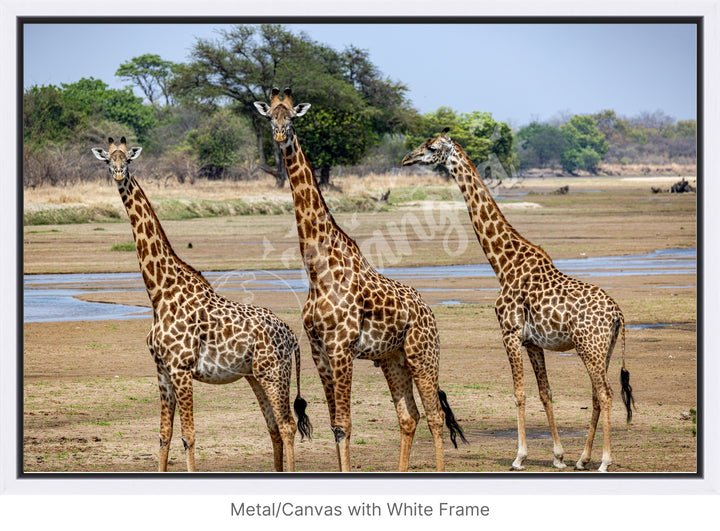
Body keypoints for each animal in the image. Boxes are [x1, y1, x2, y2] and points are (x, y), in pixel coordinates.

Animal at [89, 137, 310, 474]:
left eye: (127, 159)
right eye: (107, 160)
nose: (118, 173)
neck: (159, 292)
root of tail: (293, 336)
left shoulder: (181, 368)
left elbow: (188, 436)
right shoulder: (162, 369)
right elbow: (164, 435)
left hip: (275, 373)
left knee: (286, 426)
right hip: (255, 376)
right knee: (273, 427)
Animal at [255, 88, 466, 474]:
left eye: (291, 117)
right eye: (269, 116)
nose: (279, 136)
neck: (317, 270)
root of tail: (428, 312)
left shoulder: (342, 348)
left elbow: (345, 424)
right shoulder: (319, 350)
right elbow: (335, 425)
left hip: (423, 354)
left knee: (435, 417)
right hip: (393, 359)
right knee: (409, 416)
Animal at [402, 129, 632, 474]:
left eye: (430, 147)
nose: (407, 159)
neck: (503, 264)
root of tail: (617, 312)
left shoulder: (509, 333)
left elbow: (519, 393)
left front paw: (519, 456)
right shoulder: (533, 342)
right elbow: (545, 393)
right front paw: (558, 456)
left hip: (589, 346)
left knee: (605, 394)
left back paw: (604, 461)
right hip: (603, 348)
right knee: (596, 393)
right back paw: (582, 459)